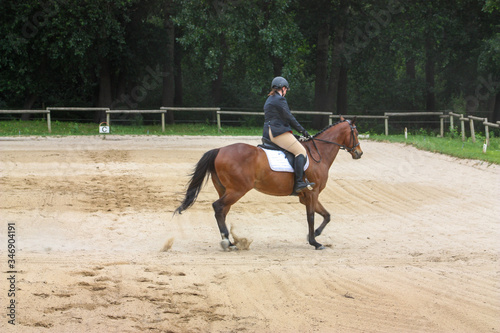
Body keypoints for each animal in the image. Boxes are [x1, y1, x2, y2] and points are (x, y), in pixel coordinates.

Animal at [174, 116, 362, 249]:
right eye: (356, 133)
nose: (359, 153)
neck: (319, 153)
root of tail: (219, 150)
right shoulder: (312, 193)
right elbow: (311, 216)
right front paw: (315, 242)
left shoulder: (306, 196)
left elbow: (326, 215)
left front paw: (315, 234)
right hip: (237, 190)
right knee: (218, 207)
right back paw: (228, 242)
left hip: (225, 190)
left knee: (222, 211)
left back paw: (230, 241)